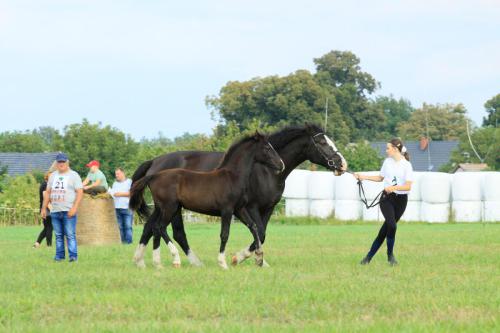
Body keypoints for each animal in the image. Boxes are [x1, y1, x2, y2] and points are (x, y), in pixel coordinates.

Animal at [131, 132, 284, 268]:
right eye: (267, 148)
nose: (281, 164)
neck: (232, 177)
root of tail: (154, 176)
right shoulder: (227, 210)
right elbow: (225, 234)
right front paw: (222, 263)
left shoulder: (239, 209)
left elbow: (254, 227)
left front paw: (259, 258)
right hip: (170, 208)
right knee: (160, 227)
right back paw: (176, 260)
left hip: (161, 208)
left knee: (153, 228)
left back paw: (157, 264)